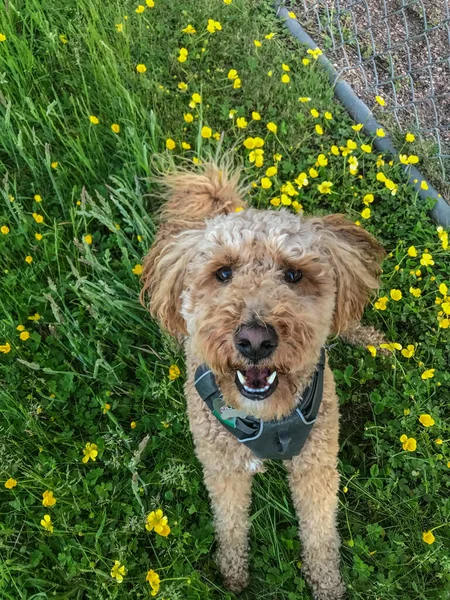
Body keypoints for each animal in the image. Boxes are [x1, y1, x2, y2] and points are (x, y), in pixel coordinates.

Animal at [141, 161, 384, 600]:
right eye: (222, 273)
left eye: (293, 274)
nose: (255, 340)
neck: (269, 418)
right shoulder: (223, 469)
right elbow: (230, 522)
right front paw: (233, 573)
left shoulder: (316, 466)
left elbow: (320, 532)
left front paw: (327, 584)